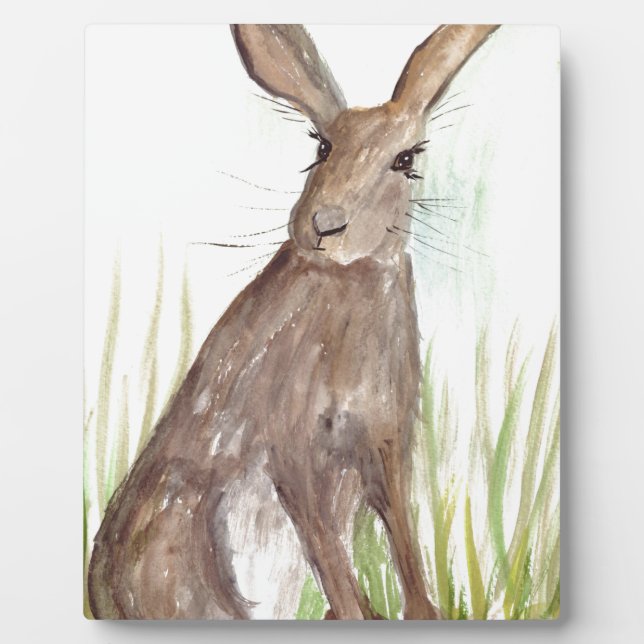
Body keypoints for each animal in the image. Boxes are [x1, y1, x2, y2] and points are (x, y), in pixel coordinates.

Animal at [88, 23, 499, 620]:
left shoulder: (384, 441)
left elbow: (400, 537)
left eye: (405, 159)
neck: (347, 283)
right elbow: (330, 553)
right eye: (322, 148)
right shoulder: (294, 450)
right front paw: (362, 616)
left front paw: (422, 615)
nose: (326, 225)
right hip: (176, 531)